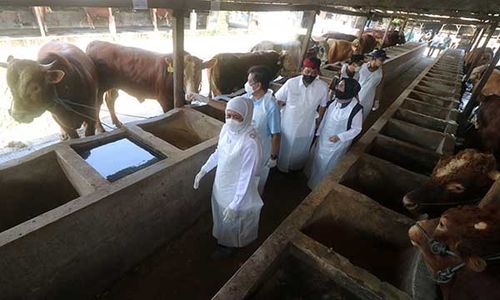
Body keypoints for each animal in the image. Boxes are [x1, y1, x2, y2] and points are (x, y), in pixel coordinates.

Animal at [86, 40, 215, 127]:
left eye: (199, 73)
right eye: (181, 74)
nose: (190, 94)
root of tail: (96, 42)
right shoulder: (164, 99)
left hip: (113, 85)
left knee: (110, 100)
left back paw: (117, 122)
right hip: (100, 87)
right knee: (96, 105)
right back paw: (101, 129)